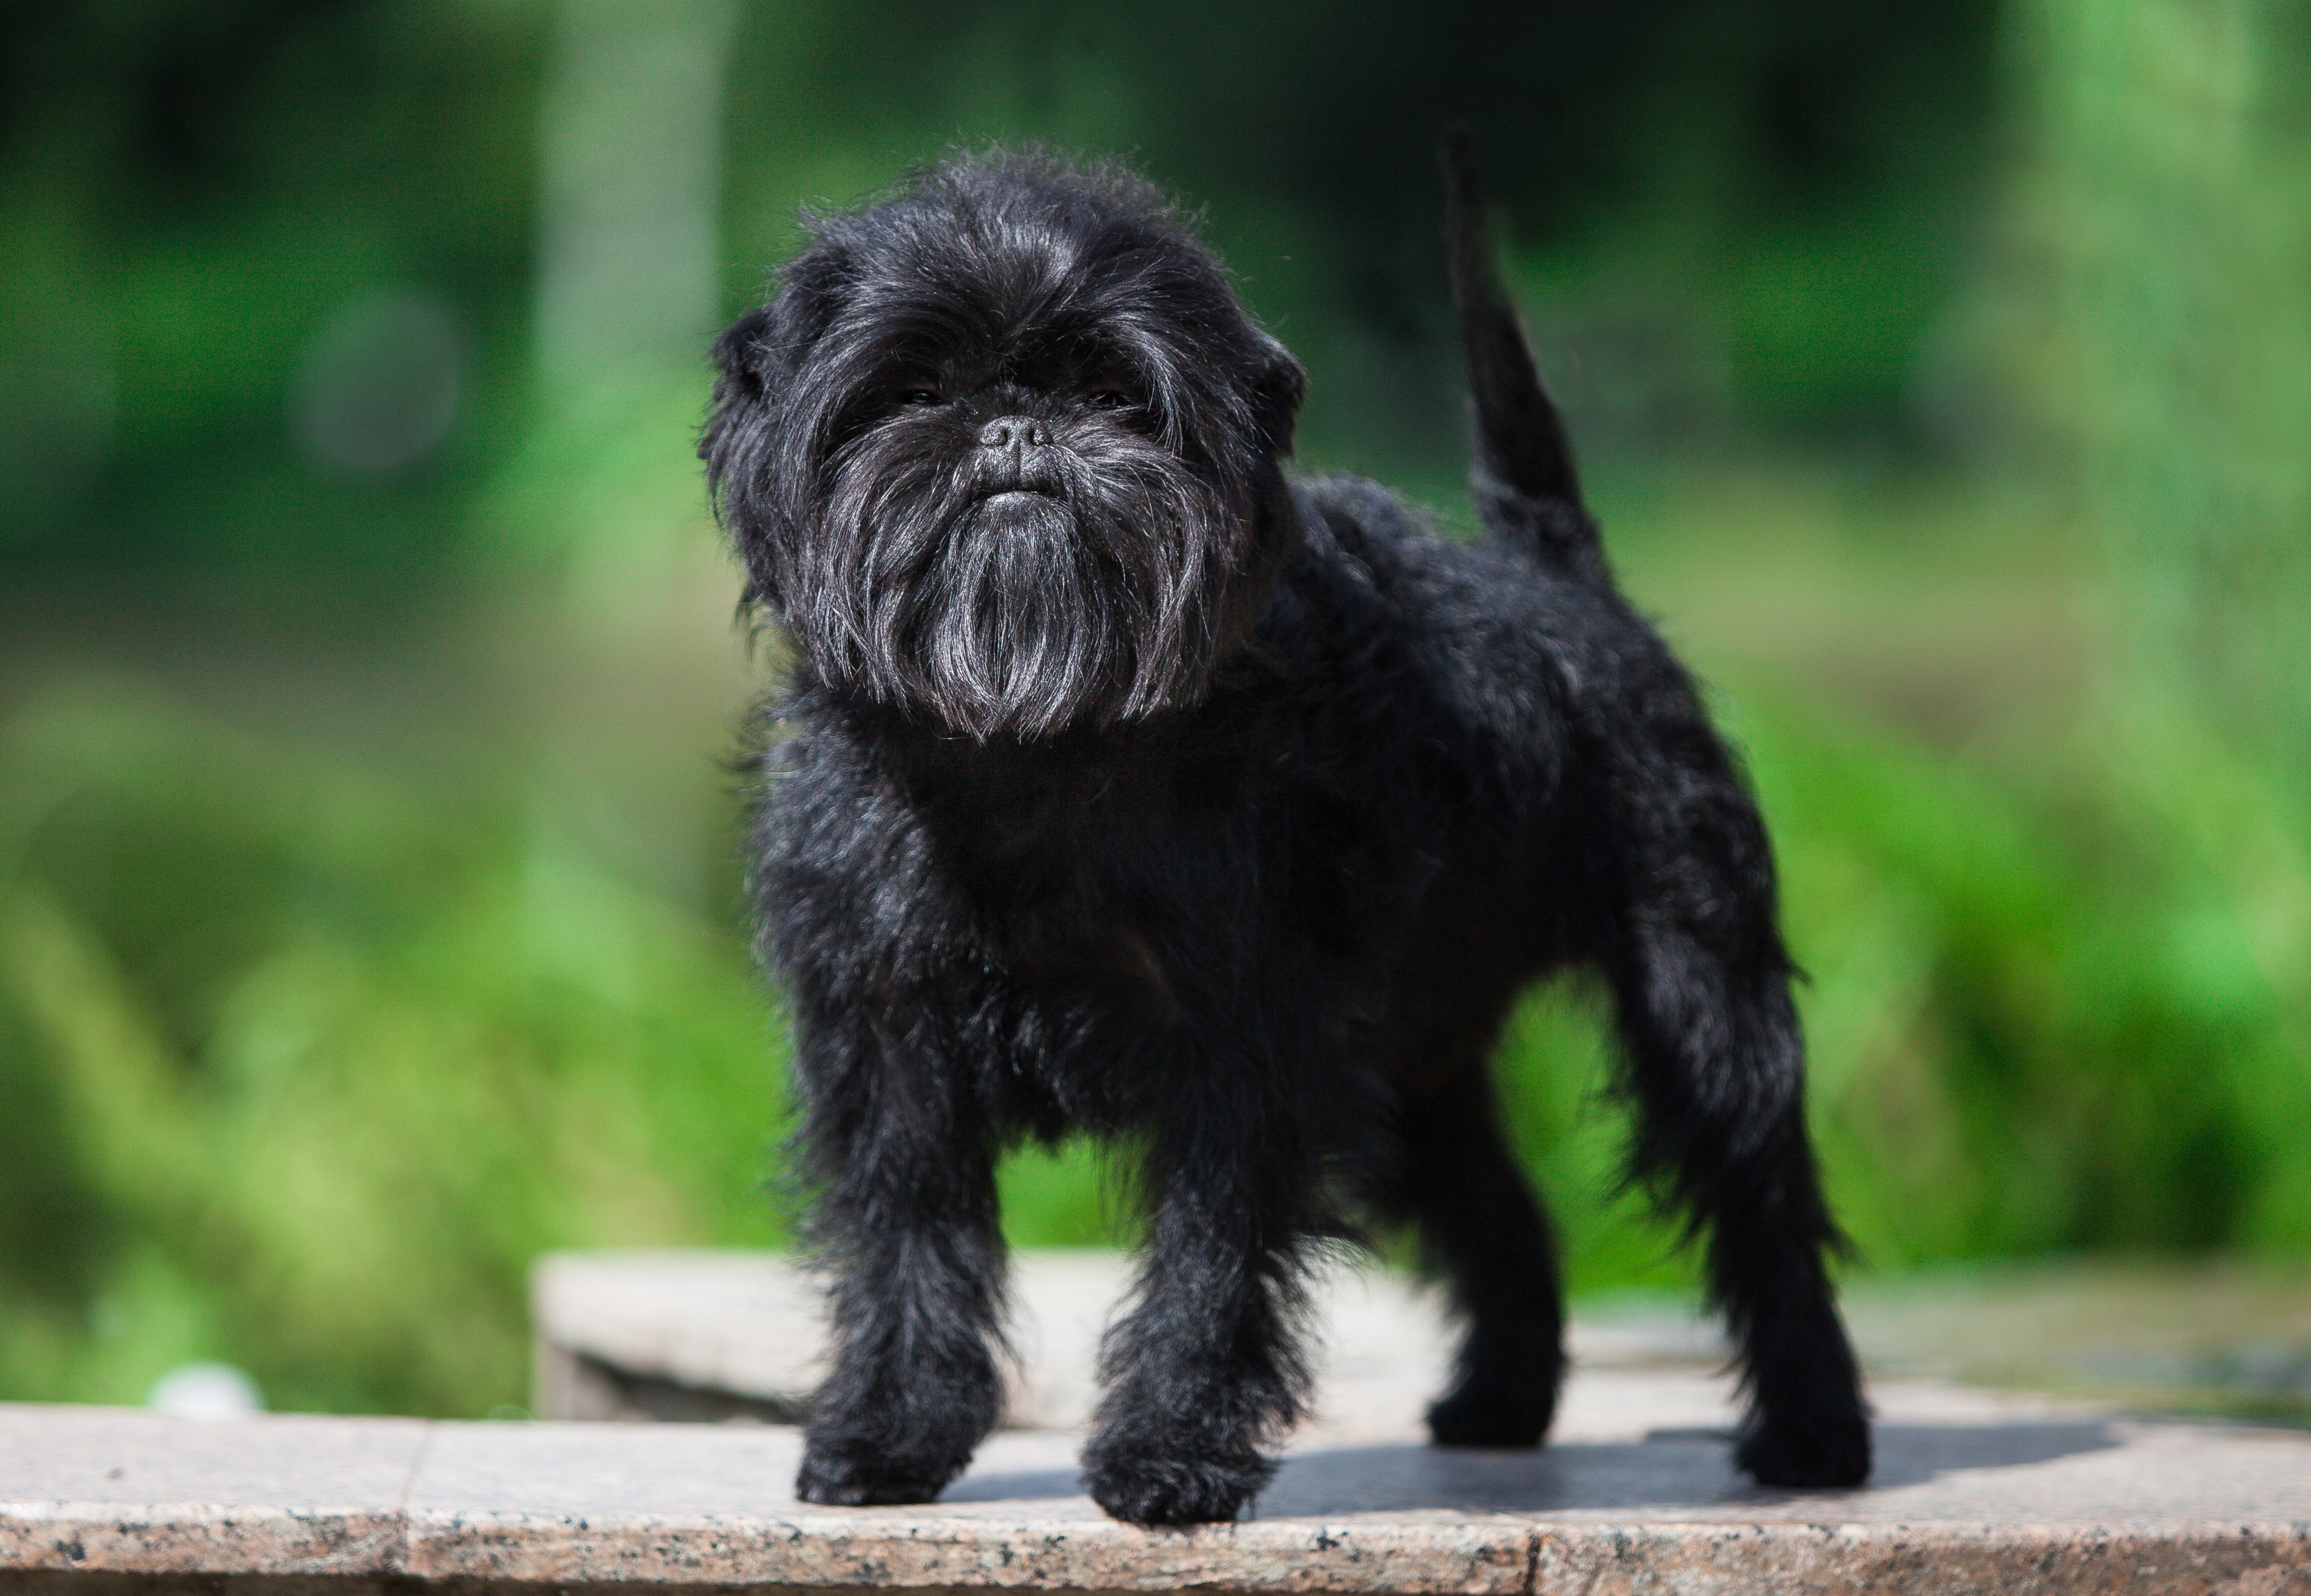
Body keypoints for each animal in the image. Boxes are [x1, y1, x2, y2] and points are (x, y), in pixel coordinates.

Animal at [693, 134, 1867, 1524]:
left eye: (1118, 396)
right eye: (911, 390)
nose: (1015, 425)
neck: (1032, 746)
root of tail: (1559, 570)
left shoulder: (1242, 1044)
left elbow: (1210, 1258)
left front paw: (1169, 1454)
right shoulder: (888, 1041)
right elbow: (907, 1241)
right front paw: (888, 1436)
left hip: (1700, 997)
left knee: (1761, 1205)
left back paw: (1813, 1431)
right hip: (1414, 1055)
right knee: (1503, 1210)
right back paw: (1501, 1402)